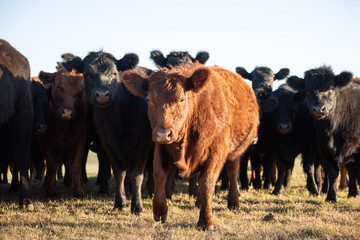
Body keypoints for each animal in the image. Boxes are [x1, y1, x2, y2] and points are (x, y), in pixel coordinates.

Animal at [37, 69, 87, 197]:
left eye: (80, 93)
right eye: (59, 87)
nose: (67, 112)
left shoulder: (80, 140)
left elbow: (75, 165)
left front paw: (78, 191)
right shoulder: (44, 141)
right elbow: (52, 164)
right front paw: (50, 190)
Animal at [58, 51, 153, 214]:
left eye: (115, 73)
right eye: (87, 74)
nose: (102, 95)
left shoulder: (143, 143)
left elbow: (136, 175)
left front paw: (137, 206)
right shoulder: (107, 143)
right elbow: (119, 173)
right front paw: (120, 203)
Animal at [122, 62, 260, 230]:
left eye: (181, 99)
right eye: (148, 99)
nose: (163, 133)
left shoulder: (216, 150)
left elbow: (207, 182)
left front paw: (206, 221)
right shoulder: (161, 147)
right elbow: (160, 175)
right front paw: (160, 211)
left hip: (234, 151)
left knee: (232, 171)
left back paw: (233, 203)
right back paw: (200, 201)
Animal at [290, 66, 360, 202]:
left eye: (331, 88)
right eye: (307, 90)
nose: (318, 109)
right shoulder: (324, 147)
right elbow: (333, 172)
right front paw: (331, 197)